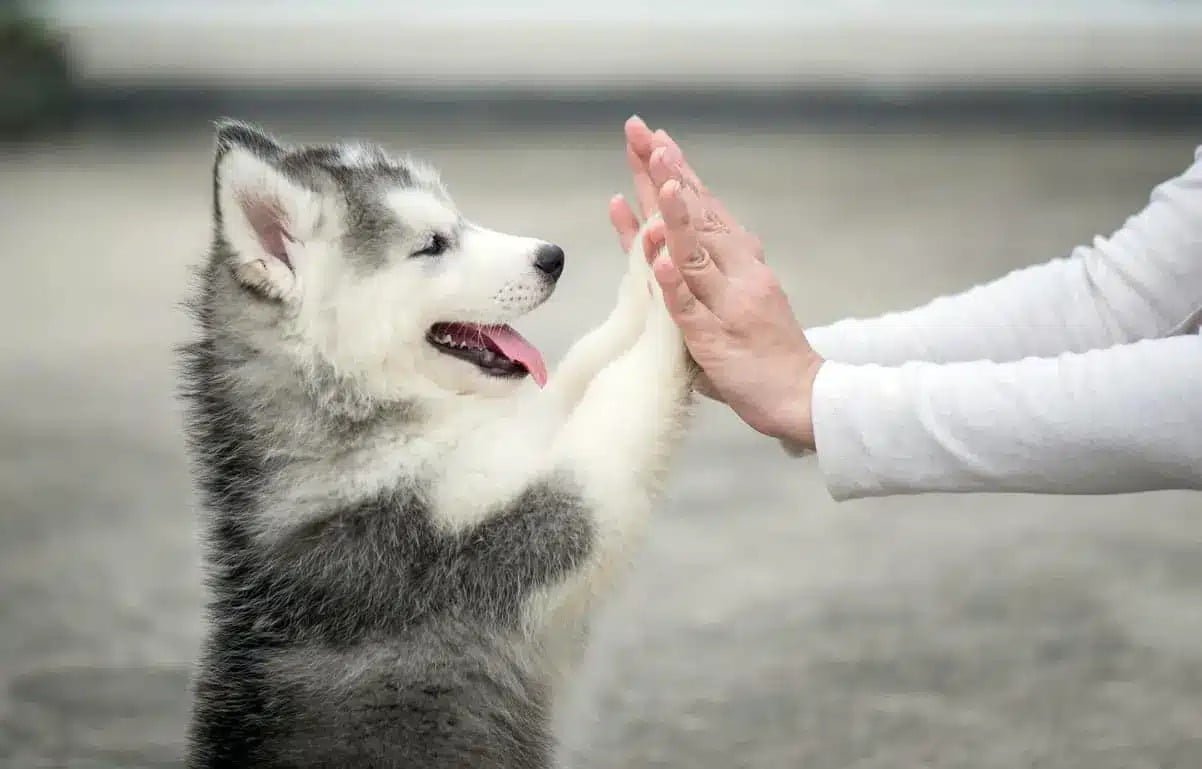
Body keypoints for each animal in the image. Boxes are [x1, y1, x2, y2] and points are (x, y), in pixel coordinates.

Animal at [177, 123, 697, 764]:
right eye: (432, 244)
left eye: (459, 219)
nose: (553, 257)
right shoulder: (509, 535)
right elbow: (619, 402)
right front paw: (677, 290)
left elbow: (580, 368)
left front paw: (650, 259)